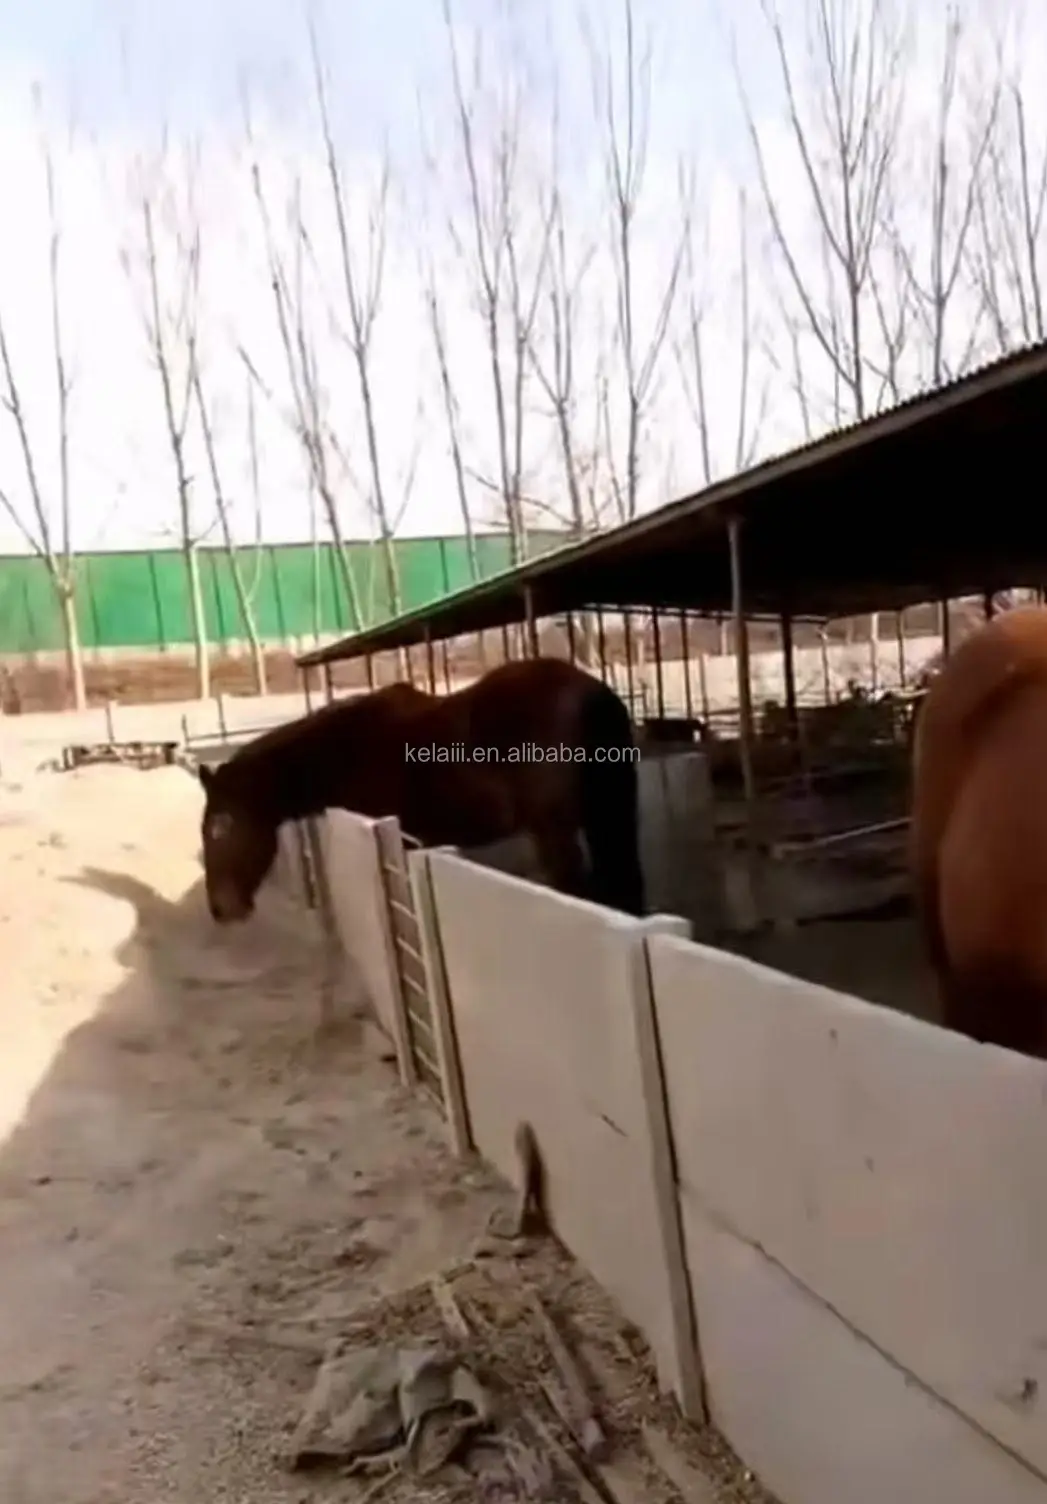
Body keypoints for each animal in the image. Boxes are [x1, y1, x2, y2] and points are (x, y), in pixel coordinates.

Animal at [198, 655, 646, 924]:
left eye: (220, 826)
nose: (220, 909)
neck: (351, 748)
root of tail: (593, 691)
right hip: (610, 815)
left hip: (557, 830)